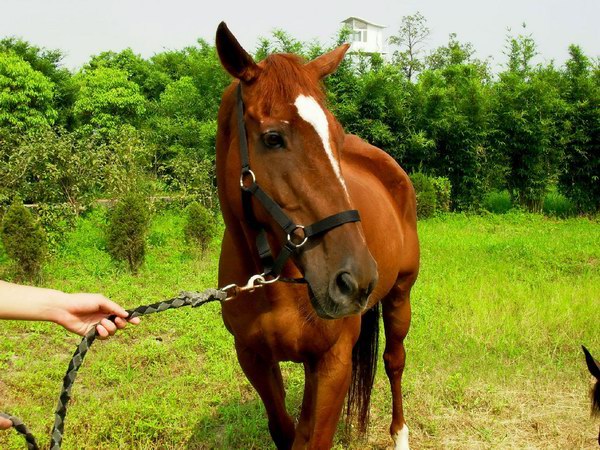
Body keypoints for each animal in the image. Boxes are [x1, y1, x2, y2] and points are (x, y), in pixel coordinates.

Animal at [217, 22, 422, 448]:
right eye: (273, 137)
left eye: (336, 136)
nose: (355, 279)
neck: (276, 284)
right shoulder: (255, 360)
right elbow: (287, 431)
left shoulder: (332, 363)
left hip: (400, 295)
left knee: (394, 361)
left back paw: (400, 434)